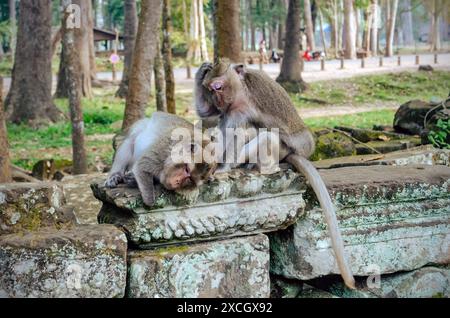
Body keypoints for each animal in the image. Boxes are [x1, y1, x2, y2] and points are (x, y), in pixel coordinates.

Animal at [194, 59, 356, 288]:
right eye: (209, 89)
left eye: (218, 87)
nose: (216, 98)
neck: (241, 90)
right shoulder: (230, 107)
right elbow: (209, 115)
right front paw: (201, 72)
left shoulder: (240, 107)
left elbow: (235, 133)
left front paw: (222, 169)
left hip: (282, 151)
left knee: (266, 136)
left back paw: (263, 167)